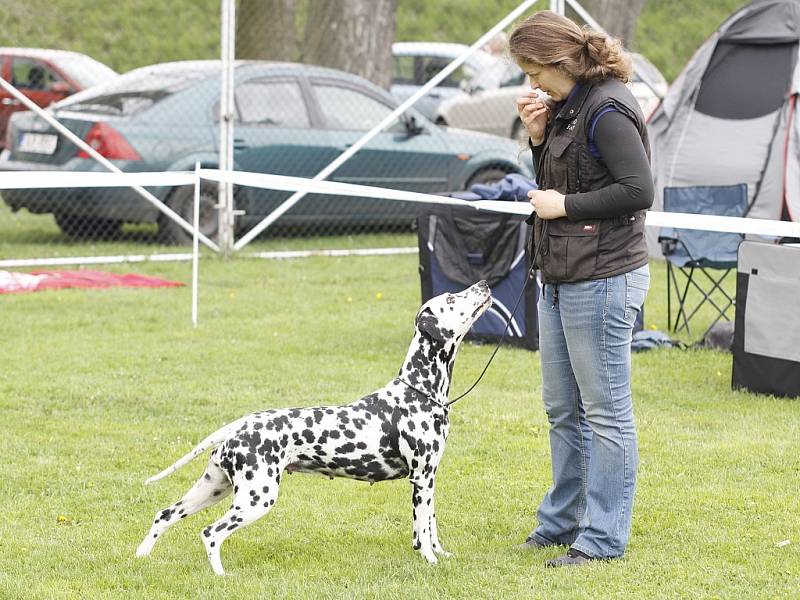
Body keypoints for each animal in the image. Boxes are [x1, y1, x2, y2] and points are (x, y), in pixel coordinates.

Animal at [134, 282, 490, 576]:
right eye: (452, 298)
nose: (484, 283)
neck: (419, 391)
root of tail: (239, 426)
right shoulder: (421, 479)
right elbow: (422, 532)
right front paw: (429, 561)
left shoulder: (430, 479)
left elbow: (432, 526)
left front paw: (441, 555)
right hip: (256, 498)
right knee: (211, 533)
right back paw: (221, 576)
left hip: (213, 488)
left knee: (164, 515)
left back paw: (141, 557)